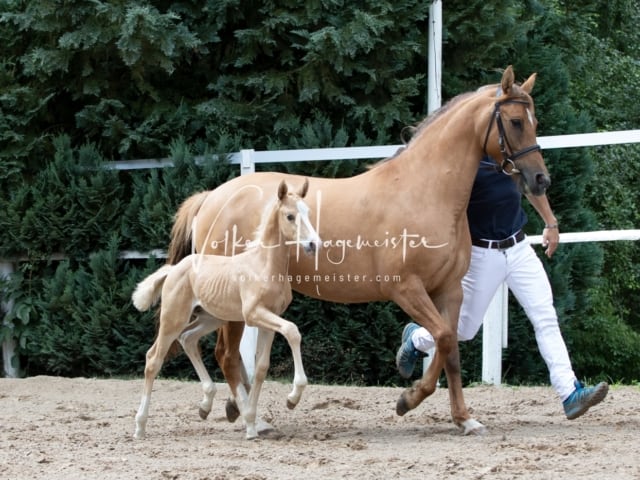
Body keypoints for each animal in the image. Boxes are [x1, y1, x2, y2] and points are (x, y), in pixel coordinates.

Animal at [132, 177, 320, 438]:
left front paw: (251, 423)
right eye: (290, 216)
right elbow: (293, 331)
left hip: (211, 318)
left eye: (308, 212)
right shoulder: (254, 314)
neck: (264, 265)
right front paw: (292, 398)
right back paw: (140, 426)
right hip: (173, 318)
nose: (313, 244)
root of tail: (174, 269)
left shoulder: (270, 318)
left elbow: (261, 367)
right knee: (153, 359)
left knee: (188, 338)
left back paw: (206, 403)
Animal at [166, 64, 552, 436]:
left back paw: (238, 409)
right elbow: (442, 337)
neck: (424, 191)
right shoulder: (406, 288)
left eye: (535, 122)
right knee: (227, 354)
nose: (540, 180)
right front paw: (408, 399)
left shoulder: (450, 290)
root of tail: (212, 198)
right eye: (516, 122)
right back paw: (252, 418)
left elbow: (451, 349)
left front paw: (464, 419)